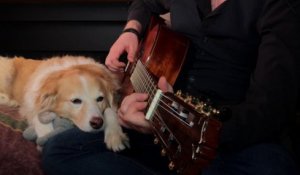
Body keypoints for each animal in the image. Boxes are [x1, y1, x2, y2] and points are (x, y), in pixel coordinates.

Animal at [0, 55, 129, 152]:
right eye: (76, 101)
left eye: (100, 99)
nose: (97, 123)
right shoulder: (31, 103)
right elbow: (38, 115)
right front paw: (46, 135)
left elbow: (110, 110)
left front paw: (115, 135)